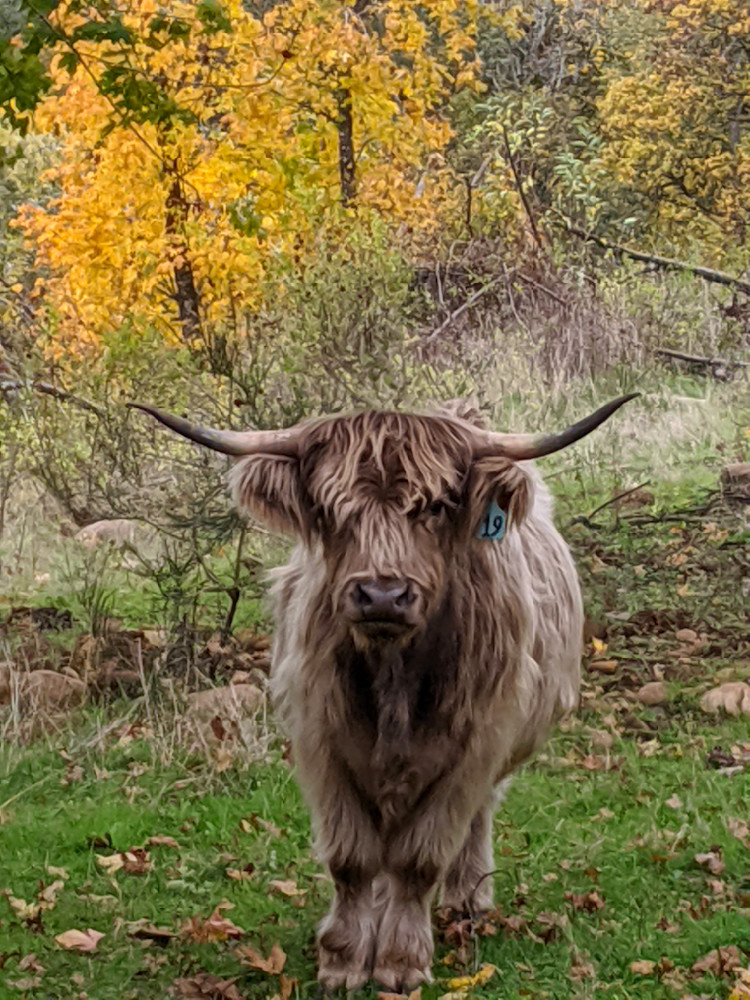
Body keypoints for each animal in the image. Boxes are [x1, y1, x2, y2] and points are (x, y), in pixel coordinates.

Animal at [133, 393, 636, 992]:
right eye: (328, 510)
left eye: (438, 506)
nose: (381, 594)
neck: (394, 672)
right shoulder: (323, 738)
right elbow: (351, 856)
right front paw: (346, 958)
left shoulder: (473, 746)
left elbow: (420, 859)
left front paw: (400, 959)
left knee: (475, 819)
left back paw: (468, 899)